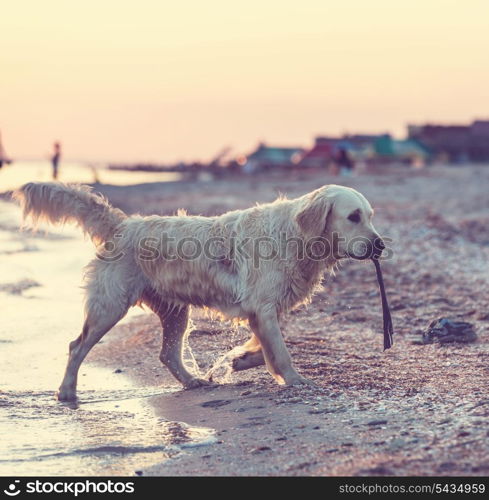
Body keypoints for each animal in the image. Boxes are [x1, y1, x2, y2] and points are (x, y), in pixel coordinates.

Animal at [15, 182, 384, 400]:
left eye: (370, 215)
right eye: (353, 216)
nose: (380, 245)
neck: (297, 237)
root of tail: (123, 223)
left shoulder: (263, 308)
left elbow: (267, 344)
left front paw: (241, 360)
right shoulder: (262, 305)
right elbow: (280, 351)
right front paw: (294, 380)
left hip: (176, 311)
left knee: (167, 354)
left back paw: (192, 381)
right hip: (110, 305)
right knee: (76, 345)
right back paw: (66, 391)